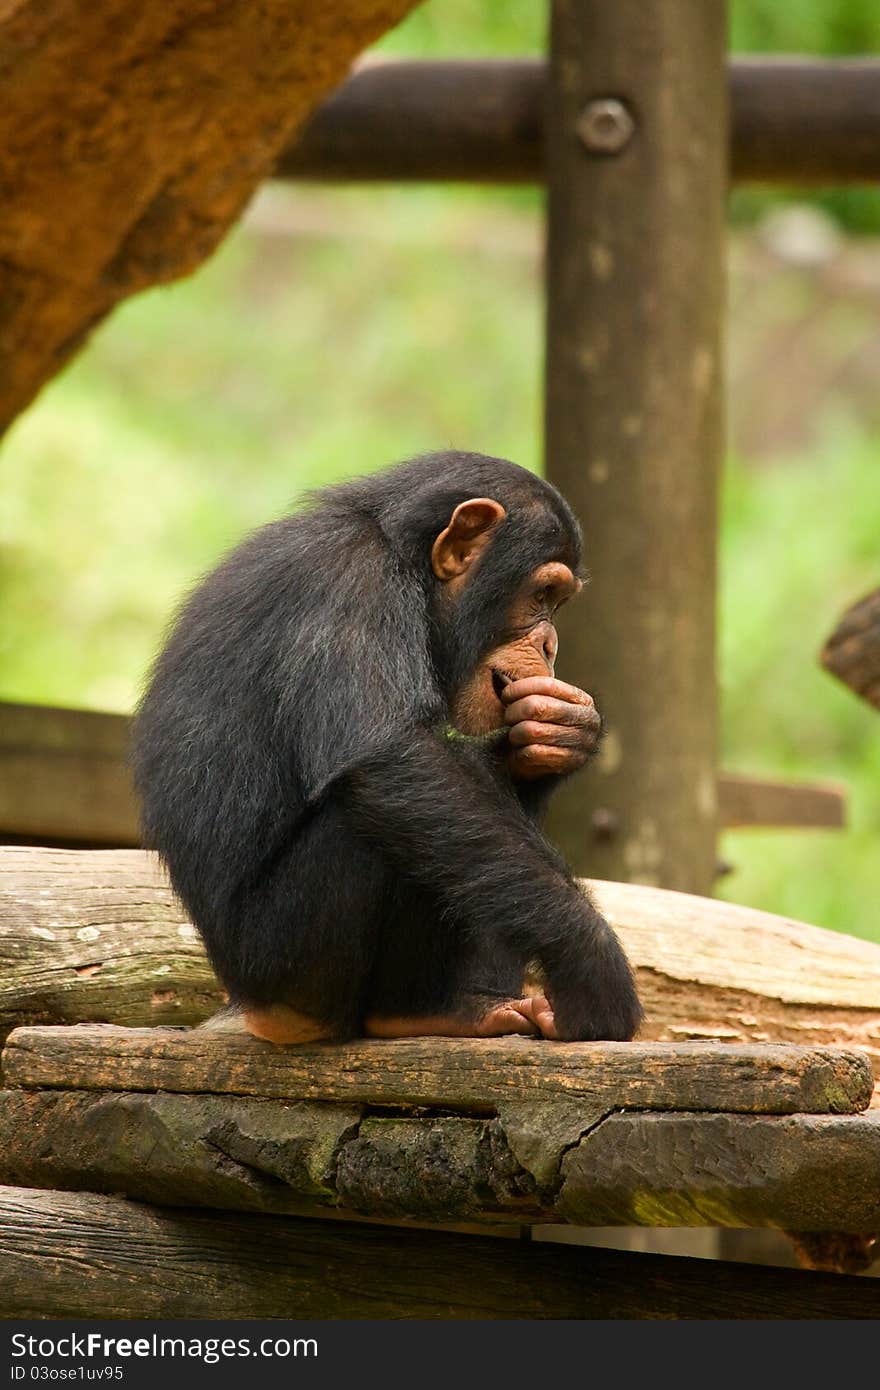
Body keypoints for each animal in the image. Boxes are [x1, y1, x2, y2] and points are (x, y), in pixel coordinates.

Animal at [132, 450, 639, 1045]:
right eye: (542, 595)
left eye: (558, 603)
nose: (550, 643)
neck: (408, 565)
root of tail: (252, 1010)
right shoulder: (349, 582)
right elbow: (394, 757)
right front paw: (592, 966)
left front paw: (563, 732)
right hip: (289, 967)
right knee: (388, 818)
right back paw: (420, 1010)